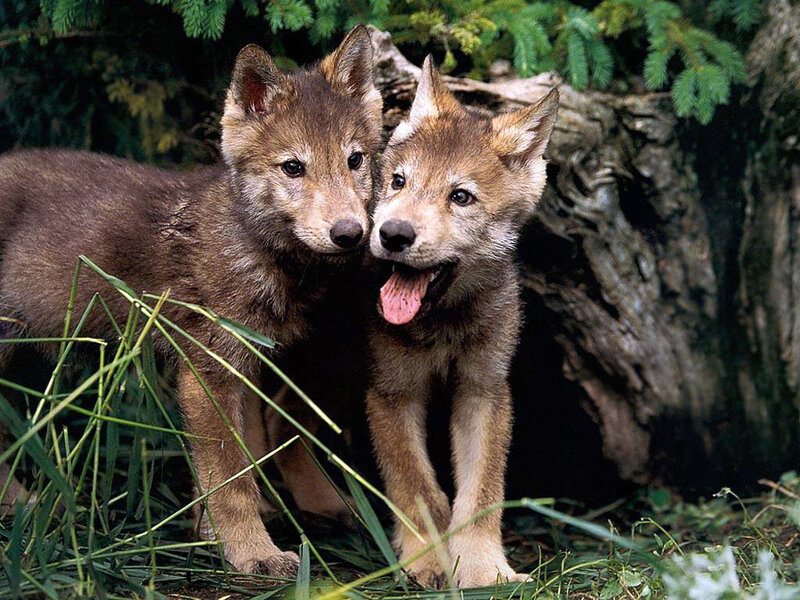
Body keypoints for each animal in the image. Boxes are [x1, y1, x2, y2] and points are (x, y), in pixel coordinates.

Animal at [0, 25, 382, 576]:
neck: (254, 249)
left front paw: (223, 532)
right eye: (293, 167)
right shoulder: (207, 370)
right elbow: (230, 479)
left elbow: (247, 456)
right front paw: (252, 552)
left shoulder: (250, 362)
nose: (350, 234)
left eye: (355, 160)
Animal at [365, 57, 558, 588]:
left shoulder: (484, 390)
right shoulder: (392, 393)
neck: (444, 325)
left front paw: (483, 569)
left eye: (461, 197)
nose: (393, 234)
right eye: (398, 182)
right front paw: (426, 561)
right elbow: (418, 488)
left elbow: (480, 495)